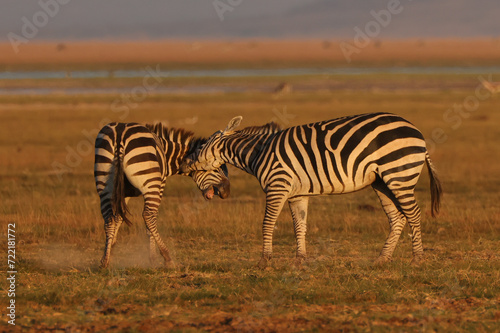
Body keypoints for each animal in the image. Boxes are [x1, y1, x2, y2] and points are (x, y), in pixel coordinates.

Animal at [94, 122, 230, 268]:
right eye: (215, 168)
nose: (227, 191)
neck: (167, 154)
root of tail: (120, 132)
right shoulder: (160, 183)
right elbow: (149, 221)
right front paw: (153, 258)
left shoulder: (124, 193)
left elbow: (118, 217)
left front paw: (110, 249)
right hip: (150, 183)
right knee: (148, 216)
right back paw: (167, 257)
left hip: (104, 183)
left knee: (108, 217)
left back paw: (104, 261)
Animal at [183, 112, 442, 268]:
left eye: (200, 148)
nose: (184, 164)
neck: (258, 152)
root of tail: (417, 132)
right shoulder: (297, 194)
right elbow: (300, 225)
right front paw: (300, 260)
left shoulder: (277, 187)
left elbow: (267, 223)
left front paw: (264, 261)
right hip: (383, 182)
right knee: (397, 217)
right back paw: (383, 258)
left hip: (399, 174)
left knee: (413, 214)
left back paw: (417, 258)